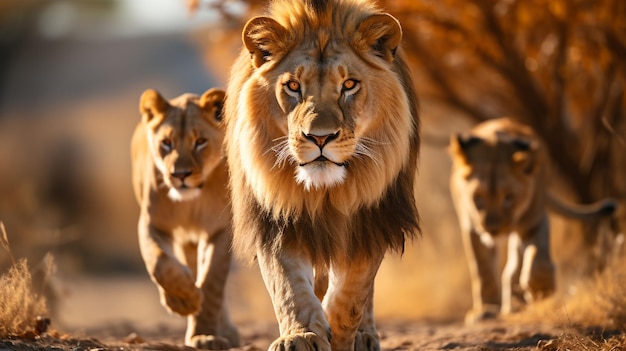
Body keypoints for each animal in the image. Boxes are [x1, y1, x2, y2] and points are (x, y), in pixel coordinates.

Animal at [130, 87, 240, 350]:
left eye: (200, 142)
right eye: (166, 143)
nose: (180, 175)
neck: (191, 202)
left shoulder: (220, 231)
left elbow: (212, 282)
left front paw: (205, 336)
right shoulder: (153, 224)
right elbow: (159, 262)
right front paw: (184, 301)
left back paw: (226, 331)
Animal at [221, 1, 420, 350]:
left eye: (349, 85)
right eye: (293, 86)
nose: (320, 137)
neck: (325, 193)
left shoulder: (371, 218)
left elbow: (353, 292)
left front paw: (339, 334)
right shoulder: (276, 220)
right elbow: (288, 287)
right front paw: (301, 336)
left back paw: (364, 336)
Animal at [448, 117, 616, 324]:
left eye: (509, 197)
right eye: (478, 197)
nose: (494, 229)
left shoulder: (535, 220)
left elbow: (540, 260)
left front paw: (539, 291)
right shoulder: (473, 227)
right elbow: (482, 268)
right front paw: (486, 309)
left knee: (515, 264)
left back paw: (517, 301)